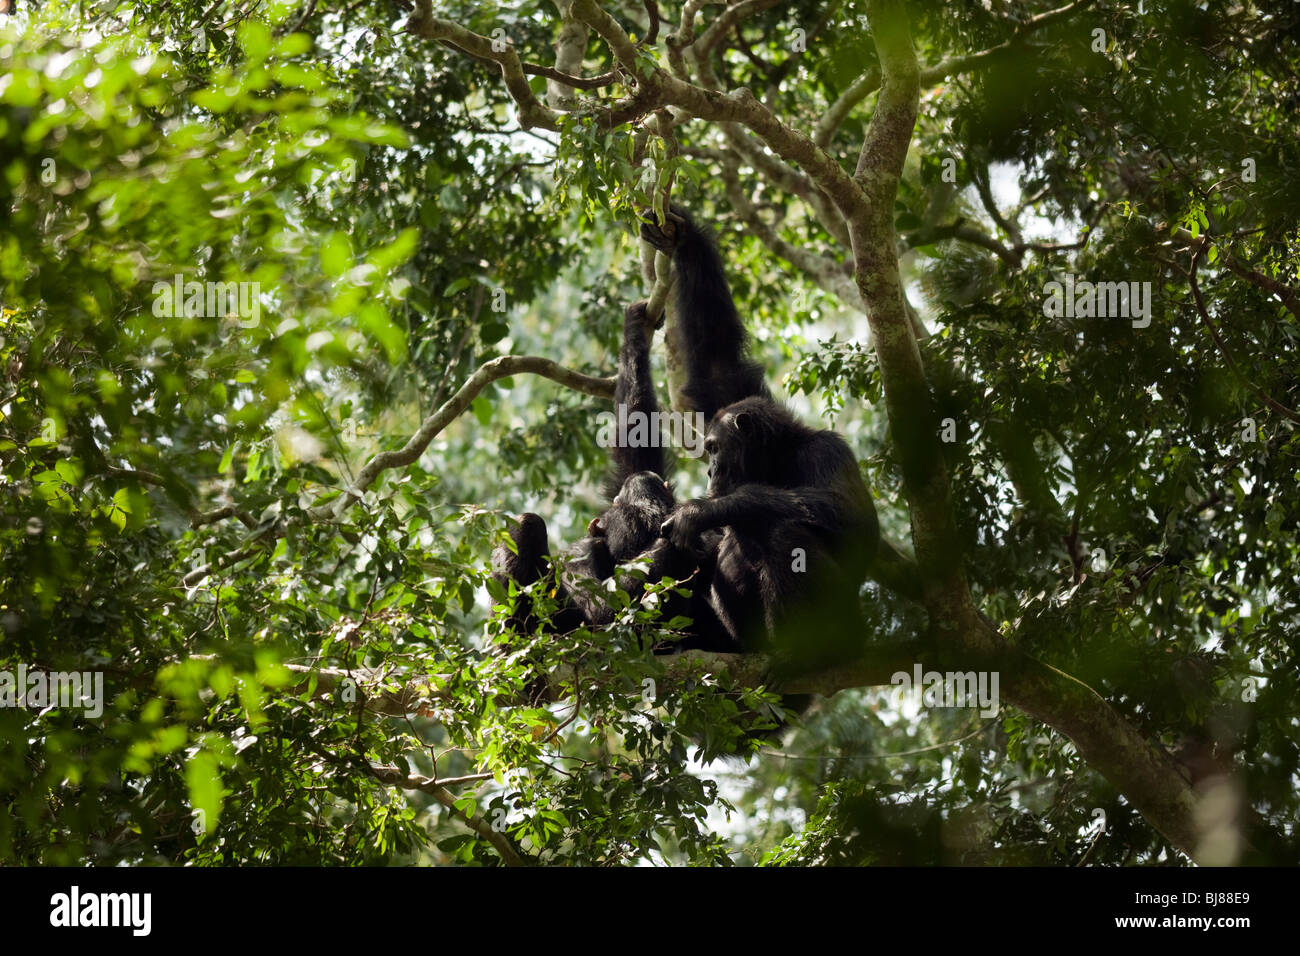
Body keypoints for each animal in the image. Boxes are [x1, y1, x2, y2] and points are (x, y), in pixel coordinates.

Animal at [642, 208, 883, 671]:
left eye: (715, 449)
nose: (711, 471)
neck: (775, 459)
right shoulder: (727, 392)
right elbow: (717, 365)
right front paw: (681, 234)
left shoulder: (828, 451)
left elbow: (849, 514)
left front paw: (703, 510)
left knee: (784, 534)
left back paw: (807, 652)